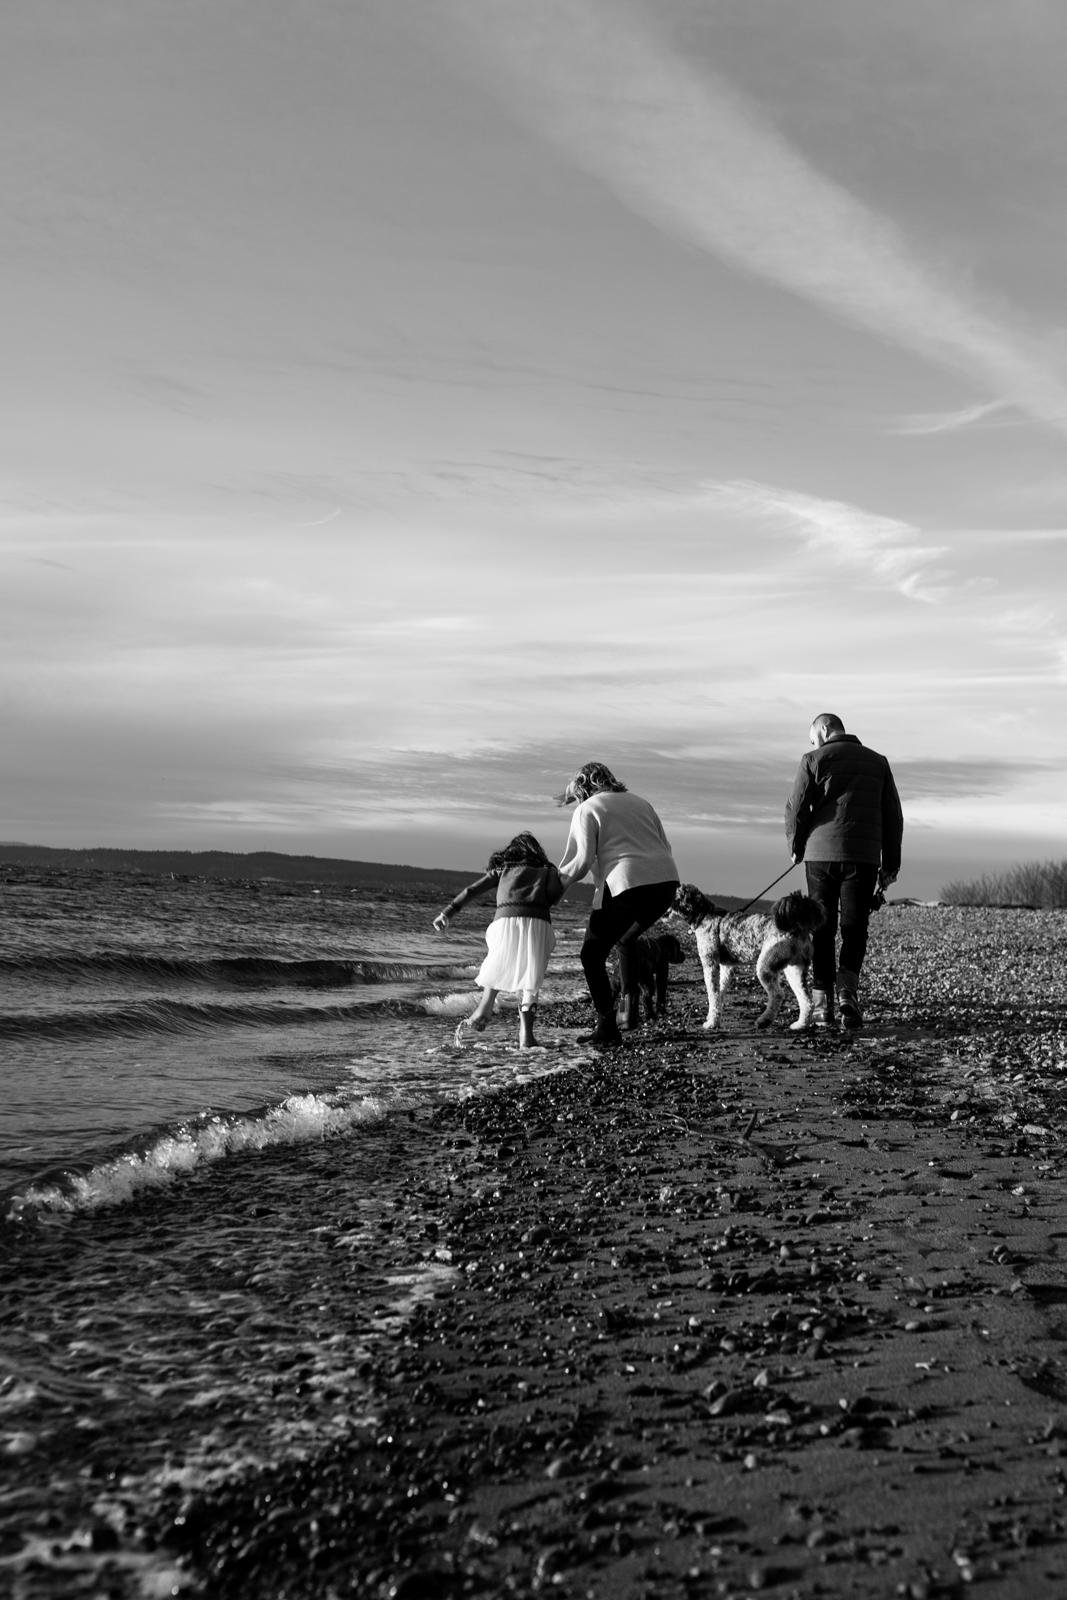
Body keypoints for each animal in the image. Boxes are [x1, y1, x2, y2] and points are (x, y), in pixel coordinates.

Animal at [668, 883, 825, 1030]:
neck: (704, 916)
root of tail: (797, 928)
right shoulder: (727, 967)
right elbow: (719, 993)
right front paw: (713, 1016)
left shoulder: (710, 964)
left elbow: (712, 994)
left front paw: (712, 1022)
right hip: (794, 969)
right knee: (807, 1001)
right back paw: (800, 1024)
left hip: (765, 966)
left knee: (778, 995)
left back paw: (764, 1020)